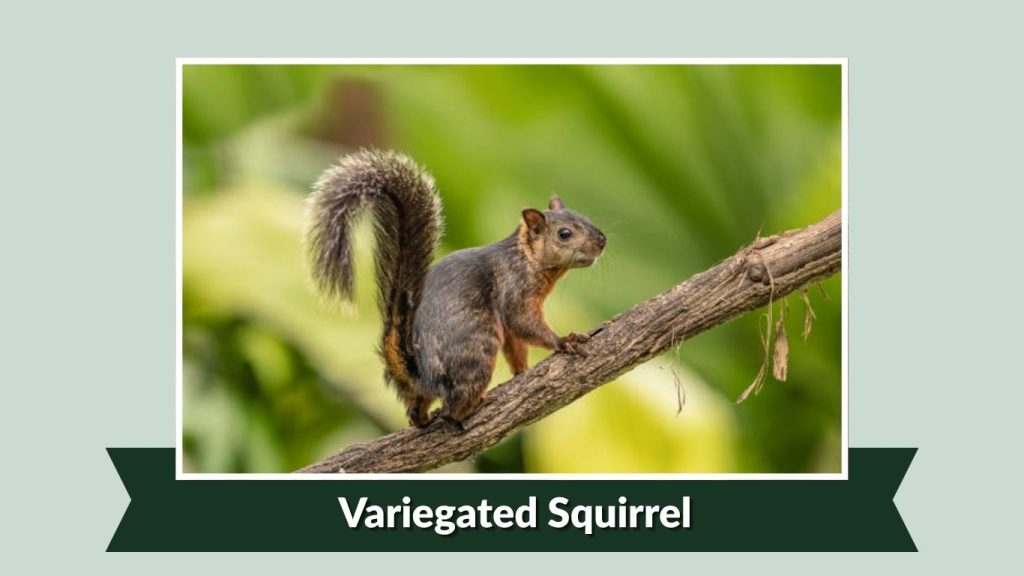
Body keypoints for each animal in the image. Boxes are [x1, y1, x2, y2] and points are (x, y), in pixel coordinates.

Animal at [305, 149, 606, 429]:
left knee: (415, 410)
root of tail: (418, 372)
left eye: (585, 217)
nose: (602, 241)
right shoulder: (515, 291)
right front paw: (564, 341)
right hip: (478, 348)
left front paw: (522, 372)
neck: (525, 257)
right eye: (564, 234)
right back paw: (476, 405)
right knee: (454, 409)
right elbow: (523, 325)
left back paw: (423, 418)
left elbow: (516, 346)